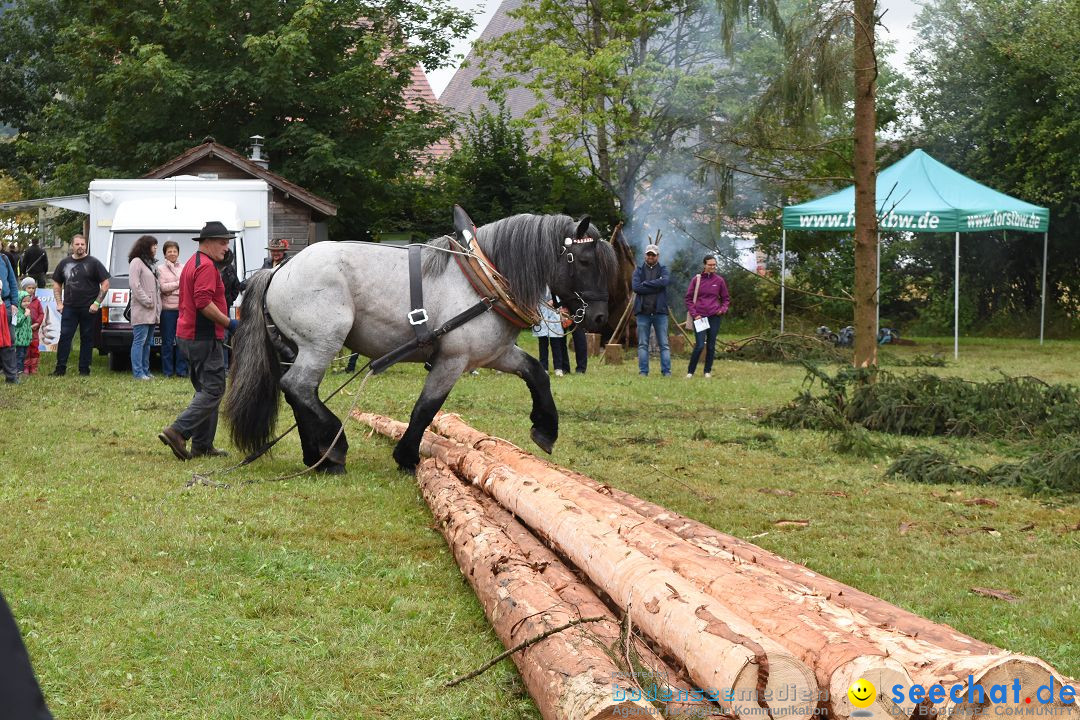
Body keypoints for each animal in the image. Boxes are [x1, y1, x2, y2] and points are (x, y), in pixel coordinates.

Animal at [225, 207, 617, 472]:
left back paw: (316, 455)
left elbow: (537, 371)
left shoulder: (494, 354)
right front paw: (407, 456)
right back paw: (334, 447)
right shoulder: (453, 359)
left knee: (296, 394)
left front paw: (545, 428)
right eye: (583, 260)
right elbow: (426, 408)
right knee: (299, 387)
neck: (483, 277)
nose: (599, 318)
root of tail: (279, 271)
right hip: (320, 344)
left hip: (296, 347)